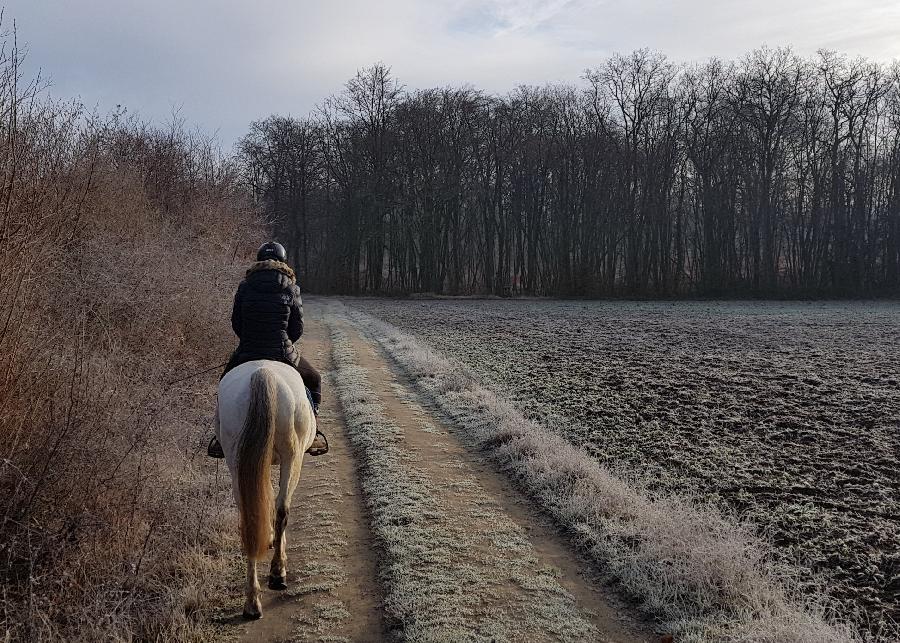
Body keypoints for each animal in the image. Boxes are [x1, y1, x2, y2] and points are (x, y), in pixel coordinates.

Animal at [216, 360, 318, 620]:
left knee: (250, 517)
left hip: (236, 461)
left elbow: (266, 499)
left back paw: (252, 602)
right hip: (292, 457)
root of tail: (264, 374)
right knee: (283, 509)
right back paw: (277, 573)